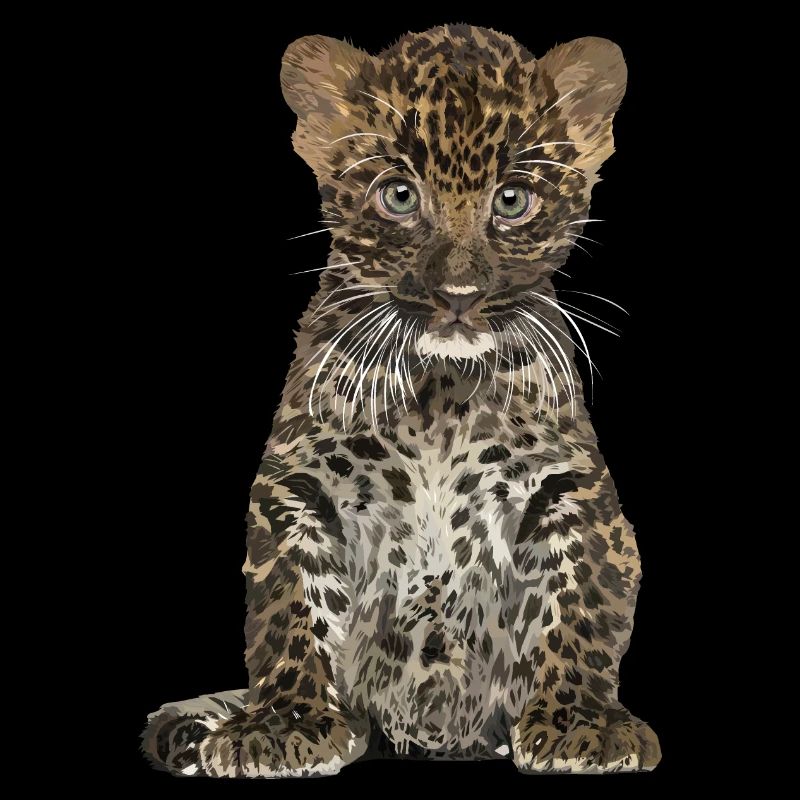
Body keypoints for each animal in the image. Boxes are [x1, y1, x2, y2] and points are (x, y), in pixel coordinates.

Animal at [142, 23, 661, 777]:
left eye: (512, 200)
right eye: (398, 196)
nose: (458, 294)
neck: (440, 391)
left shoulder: (569, 486)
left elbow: (581, 600)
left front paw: (581, 724)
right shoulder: (298, 484)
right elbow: (290, 603)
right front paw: (283, 724)